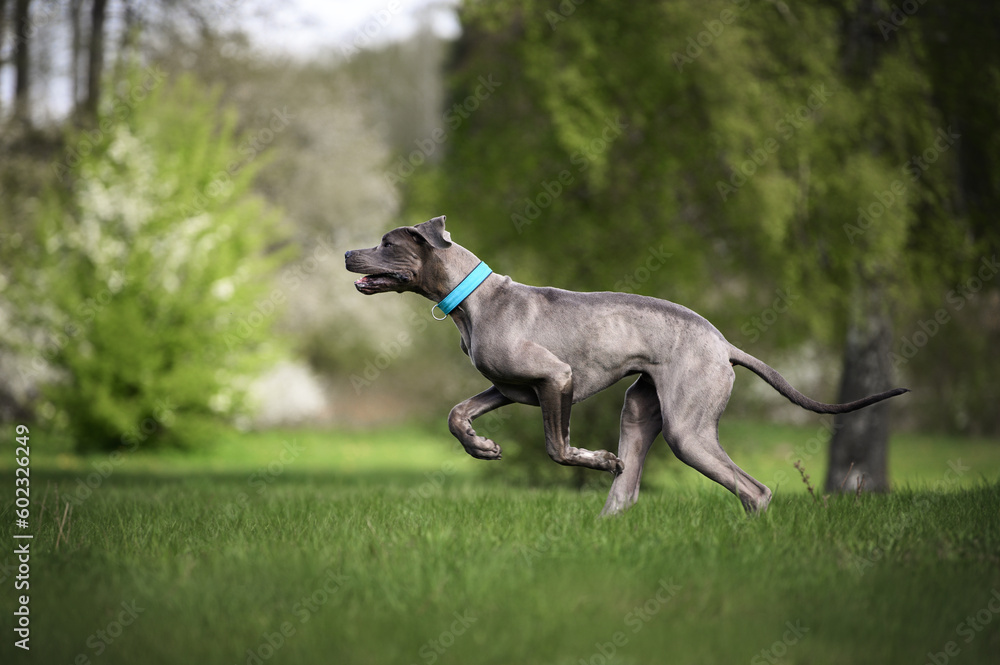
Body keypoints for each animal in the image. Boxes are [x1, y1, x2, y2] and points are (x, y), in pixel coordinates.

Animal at [344, 215, 908, 516]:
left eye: (388, 243)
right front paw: (482, 447)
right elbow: (457, 414)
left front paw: (597, 459)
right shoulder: (508, 389)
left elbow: (558, 448)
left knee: (755, 490)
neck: (473, 299)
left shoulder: (557, 379)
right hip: (640, 411)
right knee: (629, 490)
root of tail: (725, 345)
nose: (348, 253)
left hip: (688, 430)